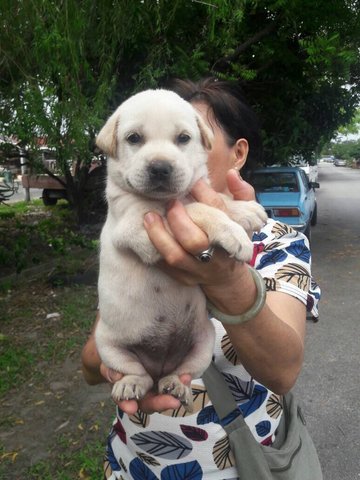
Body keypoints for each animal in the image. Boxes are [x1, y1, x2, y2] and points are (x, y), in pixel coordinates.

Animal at [95, 90, 268, 412]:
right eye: (134, 138)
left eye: (184, 138)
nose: (160, 168)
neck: (165, 198)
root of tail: (159, 366)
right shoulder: (140, 224)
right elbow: (196, 208)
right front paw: (232, 231)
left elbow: (209, 199)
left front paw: (244, 210)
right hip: (108, 345)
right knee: (137, 373)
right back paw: (130, 384)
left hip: (202, 343)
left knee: (181, 372)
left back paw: (176, 385)